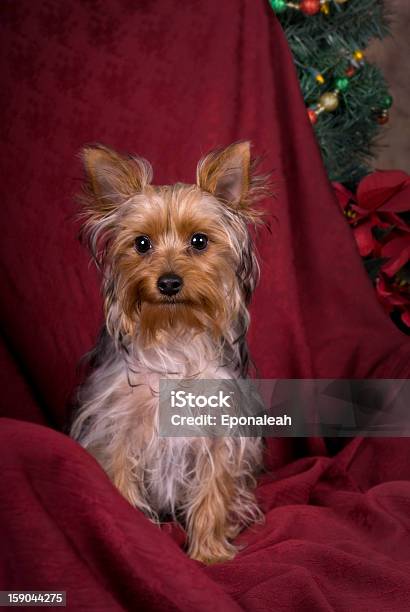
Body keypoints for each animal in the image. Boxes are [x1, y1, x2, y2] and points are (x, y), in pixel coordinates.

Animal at [71, 141, 270, 560]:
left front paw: (209, 552)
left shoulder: (221, 434)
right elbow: (118, 480)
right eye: (141, 243)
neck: (173, 331)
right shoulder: (116, 429)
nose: (168, 282)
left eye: (199, 241)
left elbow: (214, 491)